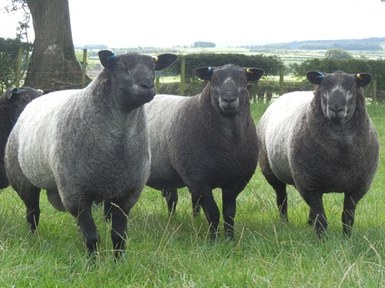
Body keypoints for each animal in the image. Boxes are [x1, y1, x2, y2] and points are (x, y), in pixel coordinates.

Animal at [4, 50, 176, 256]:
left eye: (153, 67)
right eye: (120, 67)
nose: (147, 86)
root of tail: (37, 98)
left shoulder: (127, 195)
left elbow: (119, 236)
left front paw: (119, 261)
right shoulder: (75, 194)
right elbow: (92, 237)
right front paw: (92, 262)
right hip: (23, 180)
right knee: (33, 213)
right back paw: (33, 237)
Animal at [142, 64, 262, 238]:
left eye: (244, 79)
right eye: (214, 79)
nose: (228, 99)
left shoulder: (236, 182)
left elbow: (229, 213)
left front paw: (230, 238)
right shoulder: (199, 179)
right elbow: (213, 213)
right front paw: (214, 239)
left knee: (172, 199)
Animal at [256, 71, 380, 237]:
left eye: (351, 88)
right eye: (324, 88)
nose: (336, 108)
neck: (340, 155)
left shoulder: (357, 187)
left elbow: (348, 216)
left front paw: (347, 237)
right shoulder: (309, 185)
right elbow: (321, 217)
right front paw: (322, 238)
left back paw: (308, 222)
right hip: (271, 172)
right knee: (282, 198)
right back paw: (284, 222)